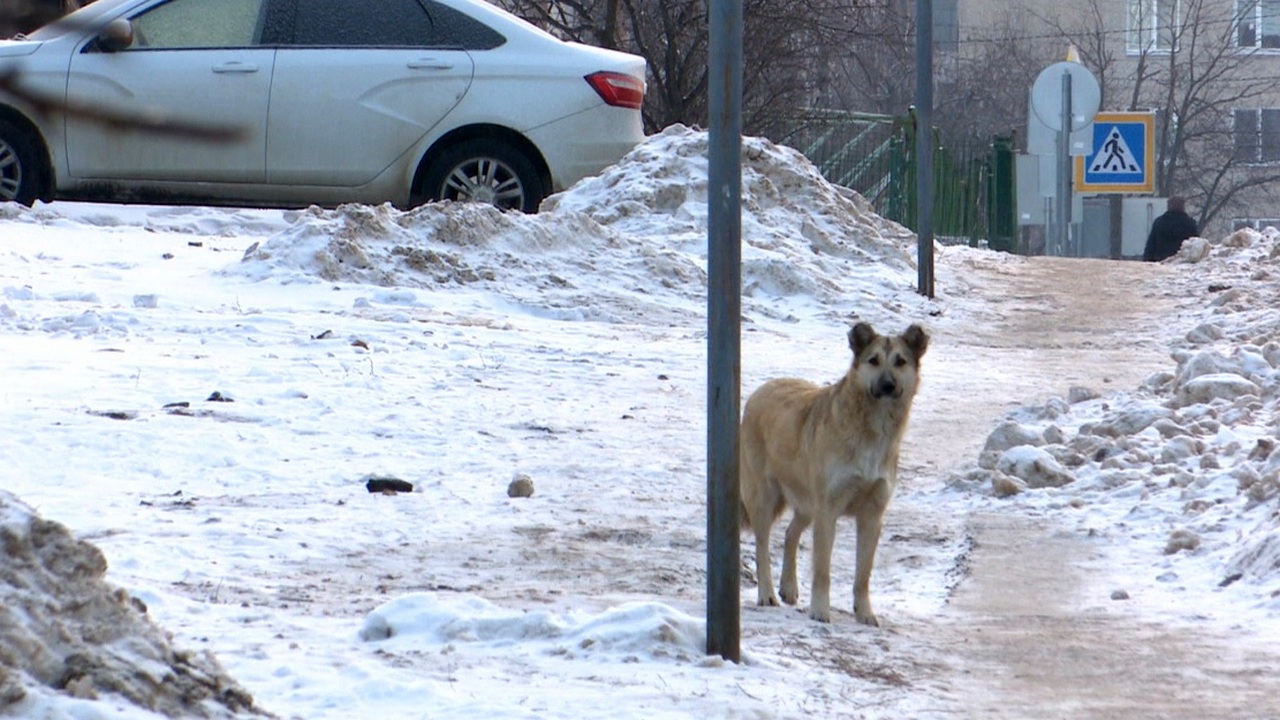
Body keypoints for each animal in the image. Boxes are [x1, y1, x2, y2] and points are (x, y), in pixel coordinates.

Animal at [742, 319, 931, 622]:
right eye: (873, 360)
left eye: (900, 362)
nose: (888, 385)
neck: (873, 428)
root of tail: (761, 390)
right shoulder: (827, 510)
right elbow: (822, 570)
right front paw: (820, 610)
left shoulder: (871, 516)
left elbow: (863, 574)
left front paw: (864, 613)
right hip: (765, 497)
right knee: (762, 546)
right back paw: (767, 593)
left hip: (807, 502)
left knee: (790, 534)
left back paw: (788, 587)